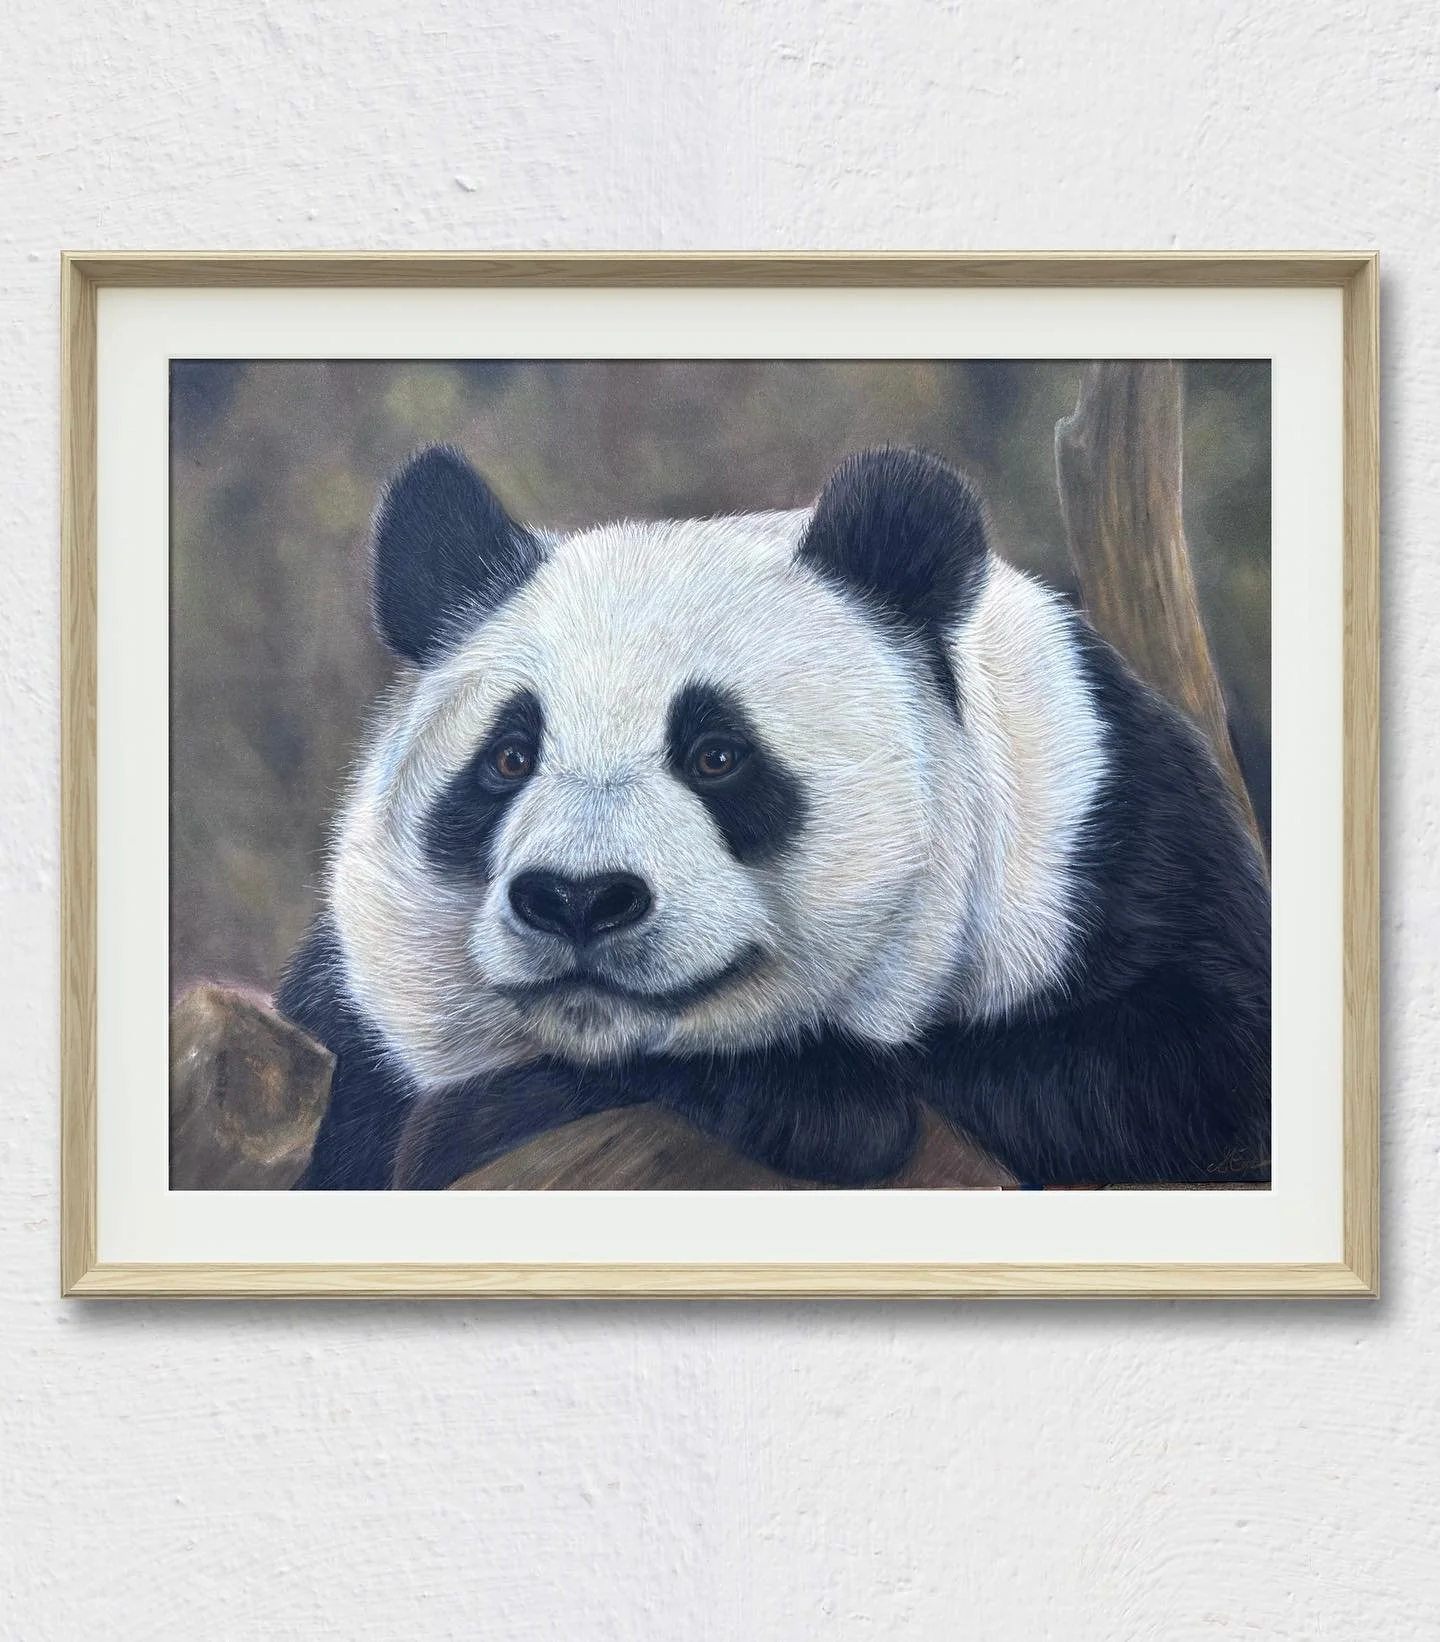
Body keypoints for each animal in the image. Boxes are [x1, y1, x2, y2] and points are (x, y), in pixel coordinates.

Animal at [278, 443, 1270, 1191]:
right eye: (509, 758)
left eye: (718, 756)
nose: (577, 899)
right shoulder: (349, 1041)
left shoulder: (1105, 832)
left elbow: (1191, 1064)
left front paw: (811, 1095)